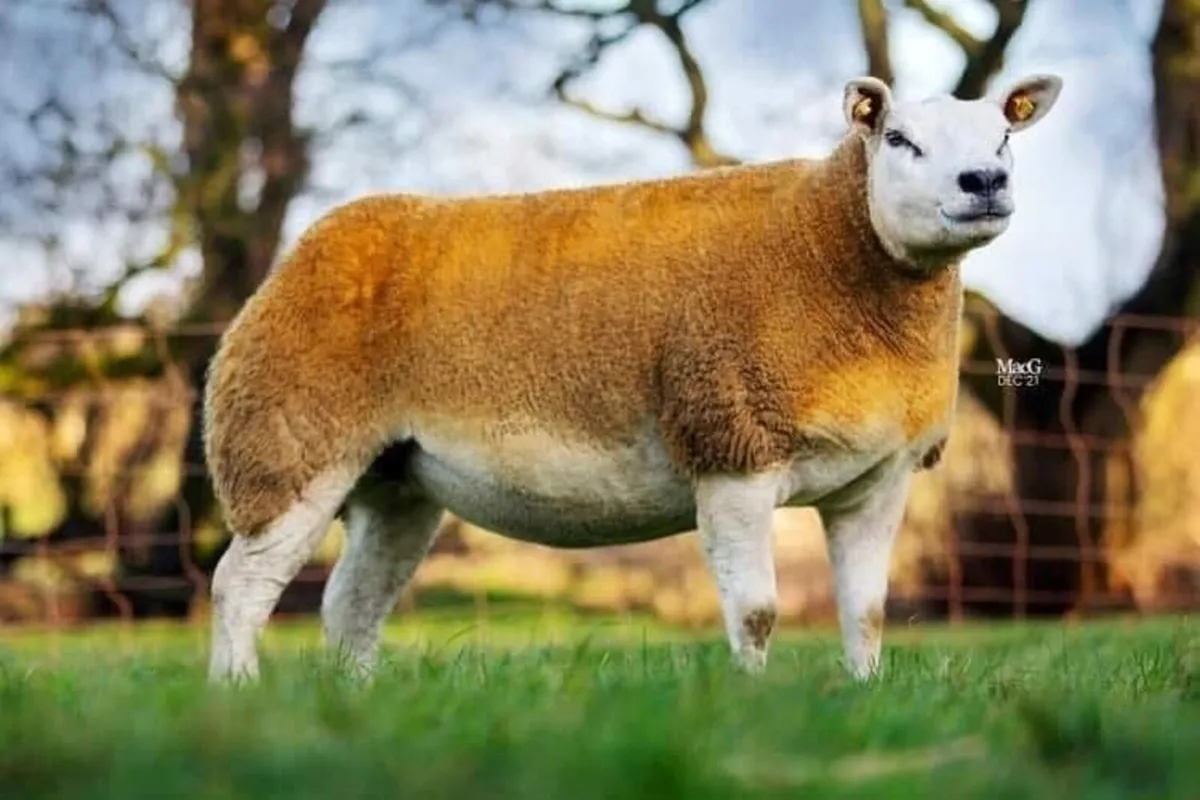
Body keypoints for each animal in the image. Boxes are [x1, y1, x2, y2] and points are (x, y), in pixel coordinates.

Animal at [203, 73, 1062, 683]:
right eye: (899, 140)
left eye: (1004, 135)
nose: (983, 182)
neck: (830, 253)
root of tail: (309, 248)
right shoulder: (730, 446)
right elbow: (757, 613)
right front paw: (753, 702)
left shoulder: (879, 479)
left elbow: (869, 614)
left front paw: (862, 698)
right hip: (288, 442)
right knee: (239, 585)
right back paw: (236, 695)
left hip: (396, 482)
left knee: (350, 606)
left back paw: (354, 702)